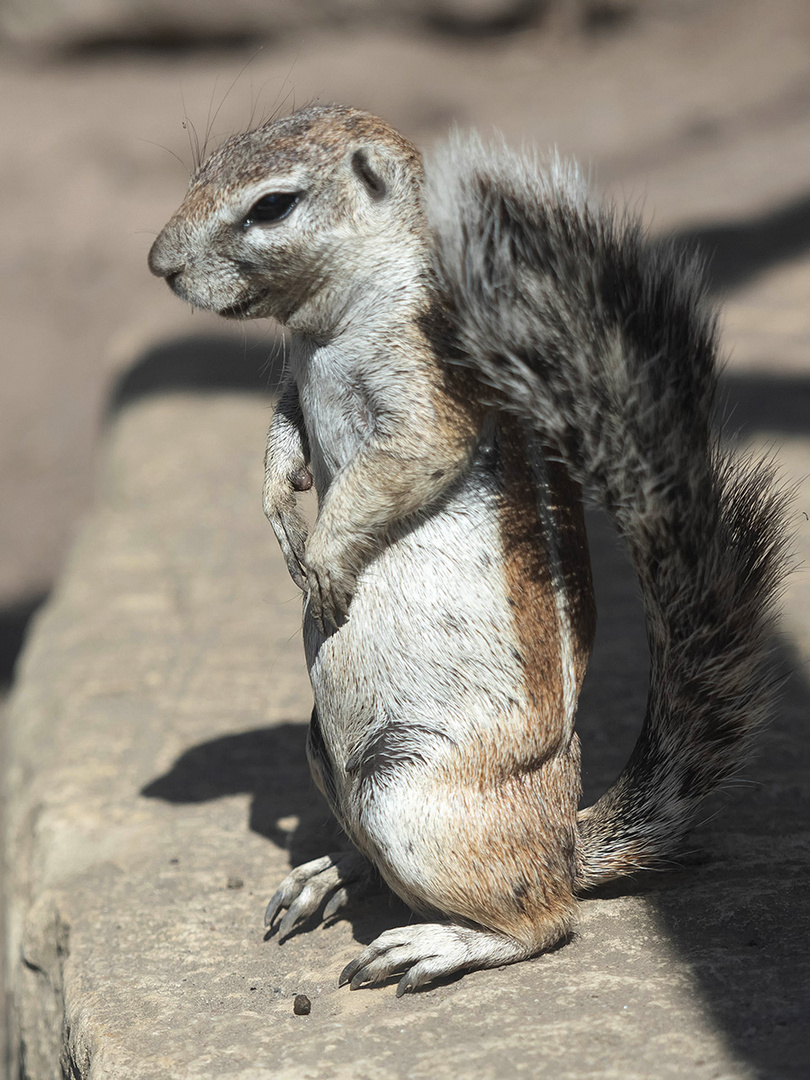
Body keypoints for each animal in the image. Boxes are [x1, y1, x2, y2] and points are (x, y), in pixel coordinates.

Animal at [151, 103, 794, 993]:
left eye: (272, 206)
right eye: (205, 167)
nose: (160, 266)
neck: (328, 326)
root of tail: (566, 842)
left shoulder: (433, 380)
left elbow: (401, 462)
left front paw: (323, 562)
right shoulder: (292, 383)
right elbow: (281, 432)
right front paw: (281, 511)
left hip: (414, 798)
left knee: (544, 920)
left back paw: (434, 944)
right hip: (327, 752)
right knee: (388, 863)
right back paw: (330, 876)